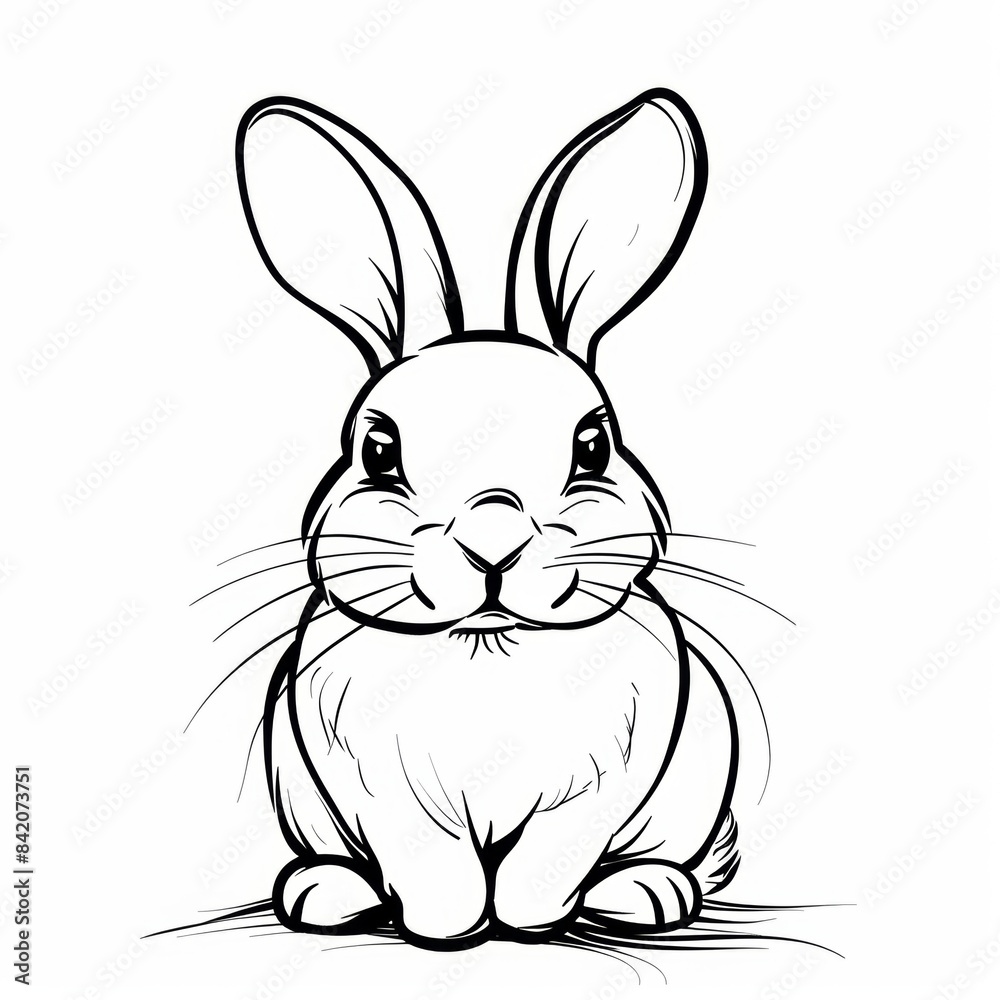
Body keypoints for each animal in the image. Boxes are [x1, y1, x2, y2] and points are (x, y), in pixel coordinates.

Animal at [234, 89, 741, 950]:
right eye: (377, 449)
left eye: (594, 444)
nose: (492, 539)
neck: (487, 648)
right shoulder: (384, 798)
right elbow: (432, 867)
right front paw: (448, 930)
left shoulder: (593, 794)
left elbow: (549, 860)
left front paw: (528, 921)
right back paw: (321, 892)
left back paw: (647, 894)